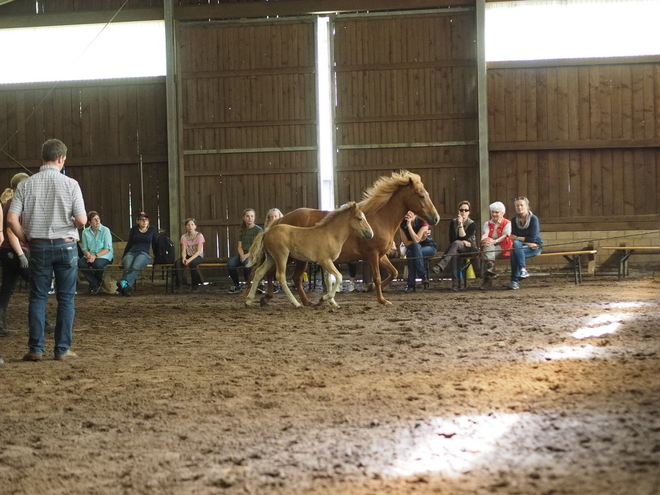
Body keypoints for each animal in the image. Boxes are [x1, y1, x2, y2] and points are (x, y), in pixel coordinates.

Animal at [246, 201, 374, 306]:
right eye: (359, 219)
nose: (370, 234)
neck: (331, 234)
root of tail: (266, 233)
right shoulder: (324, 261)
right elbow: (339, 277)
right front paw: (324, 298)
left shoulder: (327, 263)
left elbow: (329, 282)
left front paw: (333, 303)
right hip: (281, 257)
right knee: (280, 276)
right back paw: (296, 303)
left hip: (271, 258)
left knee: (259, 272)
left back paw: (249, 301)